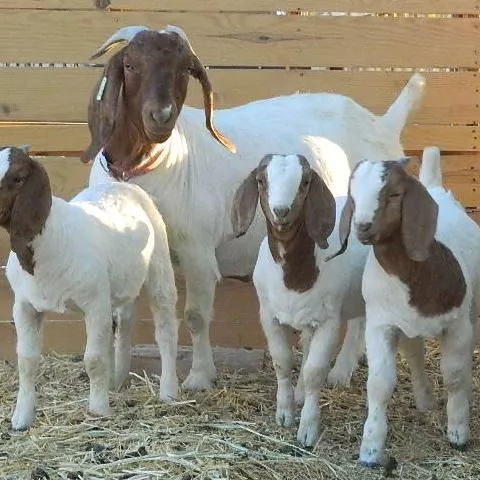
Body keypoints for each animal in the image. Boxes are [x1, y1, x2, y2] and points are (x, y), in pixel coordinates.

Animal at [2, 147, 178, 432]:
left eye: (18, 178)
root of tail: (120, 185)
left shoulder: (94, 303)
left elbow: (93, 360)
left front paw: (97, 410)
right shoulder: (25, 306)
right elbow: (26, 361)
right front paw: (21, 418)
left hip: (159, 265)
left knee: (165, 330)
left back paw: (169, 391)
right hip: (121, 282)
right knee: (123, 323)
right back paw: (117, 380)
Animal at [84, 24, 426, 390]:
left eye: (184, 70)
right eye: (130, 65)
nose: (161, 117)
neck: (156, 162)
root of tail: (383, 125)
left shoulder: (197, 250)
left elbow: (195, 316)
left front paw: (199, 377)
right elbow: (123, 315)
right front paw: (118, 378)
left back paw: (340, 372)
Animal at [328, 146, 480, 464]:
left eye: (395, 194)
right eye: (353, 195)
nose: (363, 227)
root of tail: (435, 188)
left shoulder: (458, 325)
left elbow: (455, 375)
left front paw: (458, 434)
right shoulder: (382, 325)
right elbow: (379, 383)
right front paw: (370, 449)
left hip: (473, 312)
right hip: (406, 325)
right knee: (414, 352)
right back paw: (424, 399)